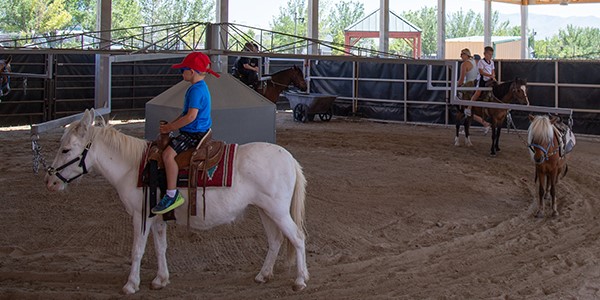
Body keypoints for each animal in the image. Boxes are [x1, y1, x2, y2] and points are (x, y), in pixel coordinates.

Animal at [43, 109, 310, 294]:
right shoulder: (157, 217)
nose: (50, 182)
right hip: (266, 210)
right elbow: (161, 247)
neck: (133, 167)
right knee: (275, 240)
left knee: (297, 238)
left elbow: (137, 250)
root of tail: (289, 159)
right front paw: (160, 280)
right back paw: (263, 275)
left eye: (66, 150)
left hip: (277, 211)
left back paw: (299, 280)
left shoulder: (140, 216)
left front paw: (131, 285)